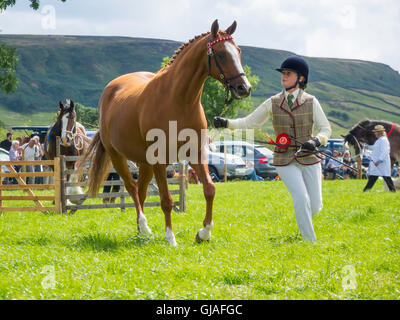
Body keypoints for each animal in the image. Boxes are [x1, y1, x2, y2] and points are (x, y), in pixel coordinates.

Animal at [80, 20, 252, 245]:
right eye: (221, 53)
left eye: (238, 51)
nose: (244, 88)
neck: (179, 100)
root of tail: (110, 90)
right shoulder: (159, 159)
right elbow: (166, 200)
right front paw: (170, 237)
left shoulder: (196, 153)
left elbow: (209, 189)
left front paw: (204, 233)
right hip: (117, 156)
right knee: (132, 188)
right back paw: (144, 227)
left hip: (144, 163)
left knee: (141, 191)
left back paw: (140, 233)